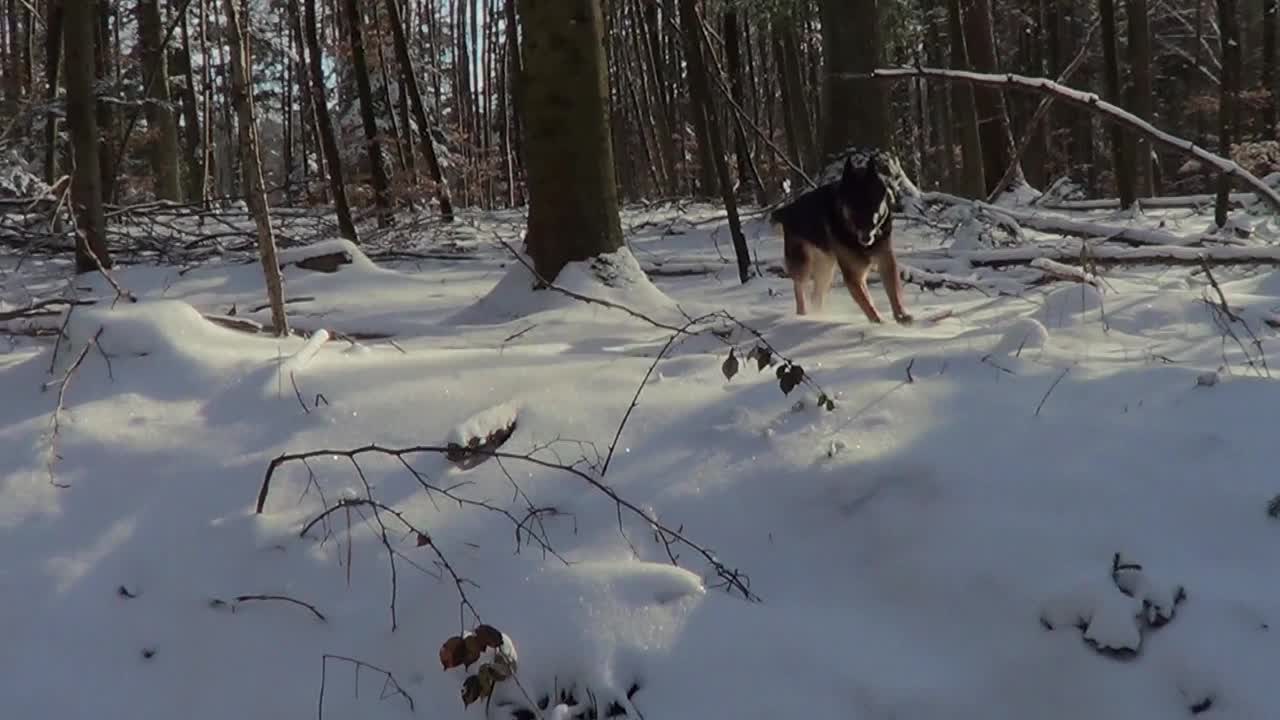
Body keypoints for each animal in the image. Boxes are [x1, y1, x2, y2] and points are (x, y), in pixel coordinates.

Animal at [768, 152, 911, 324]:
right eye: (853, 208)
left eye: (873, 207)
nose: (866, 238)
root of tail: (788, 210)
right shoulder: (853, 274)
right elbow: (866, 302)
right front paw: (879, 323)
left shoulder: (886, 261)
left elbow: (894, 292)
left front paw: (901, 316)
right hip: (803, 264)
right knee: (799, 288)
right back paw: (803, 316)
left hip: (826, 269)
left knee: (816, 296)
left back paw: (820, 316)